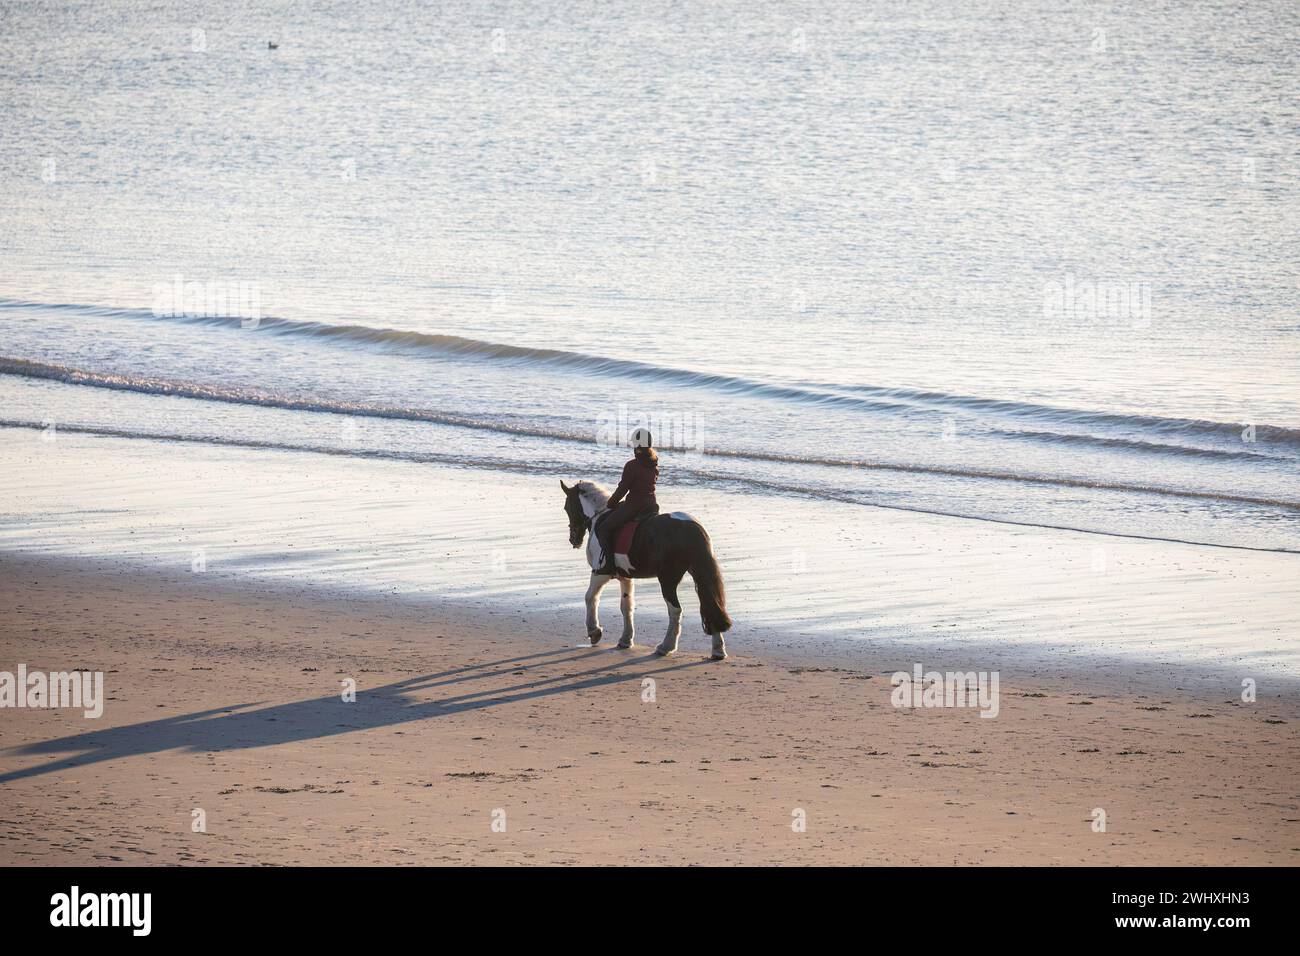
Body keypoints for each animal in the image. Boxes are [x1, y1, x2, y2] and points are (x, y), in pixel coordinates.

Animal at [560, 480, 732, 660]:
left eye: (566, 507)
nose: (574, 539)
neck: (600, 517)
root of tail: (692, 528)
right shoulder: (625, 577)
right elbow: (626, 606)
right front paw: (625, 640)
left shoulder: (601, 573)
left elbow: (590, 597)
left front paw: (594, 631)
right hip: (699, 572)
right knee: (711, 605)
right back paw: (718, 650)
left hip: (668, 580)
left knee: (675, 610)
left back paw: (666, 646)